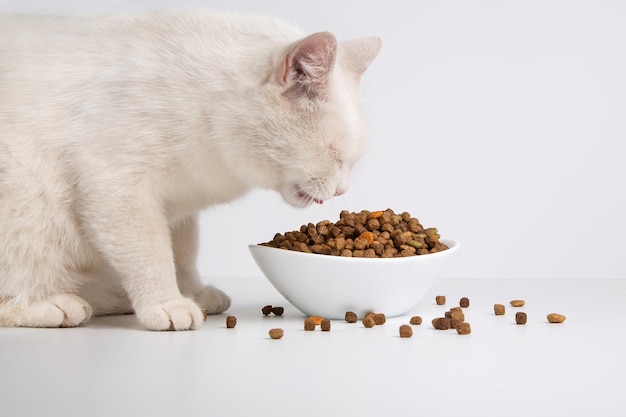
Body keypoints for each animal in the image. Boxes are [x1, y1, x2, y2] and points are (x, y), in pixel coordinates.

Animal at [0, 9, 380, 330]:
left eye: (351, 161)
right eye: (335, 156)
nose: (342, 189)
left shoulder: (178, 208)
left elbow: (182, 255)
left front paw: (192, 293)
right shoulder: (117, 187)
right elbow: (150, 254)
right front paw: (165, 303)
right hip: (25, 201)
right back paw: (55, 304)